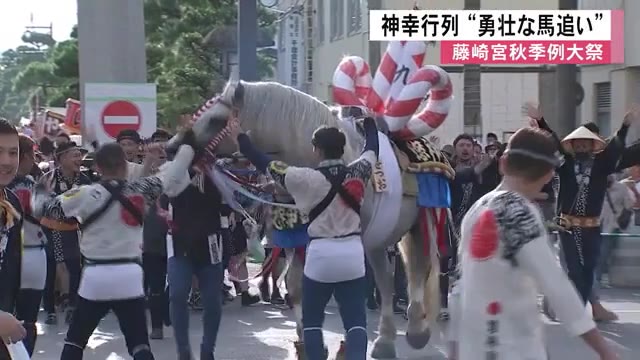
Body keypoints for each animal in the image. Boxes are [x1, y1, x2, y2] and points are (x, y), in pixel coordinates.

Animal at [168, 80, 442, 358]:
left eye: (216, 120)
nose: (172, 147)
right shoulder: (299, 238)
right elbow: (297, 287)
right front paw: (306, 341)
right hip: (378, 237)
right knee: (386, 280)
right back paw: (385, 340)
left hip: (419, 222)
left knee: (418, 268)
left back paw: (416, 330)